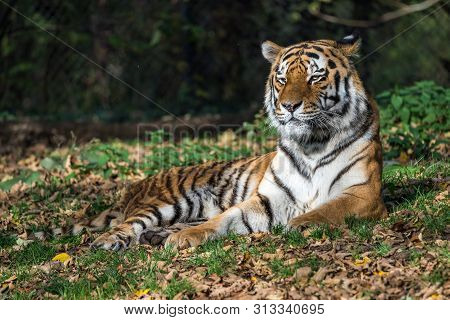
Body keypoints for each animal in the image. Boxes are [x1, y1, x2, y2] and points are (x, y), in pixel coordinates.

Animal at [71, 33, 386, 251]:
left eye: (315, 78)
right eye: (282, 79)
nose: (289, 106)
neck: (312, 144)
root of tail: (135, 187)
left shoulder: (363, 192)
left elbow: (327, 209)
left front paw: (299, 223)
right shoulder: (270, 198)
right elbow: (226, 218)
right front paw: (184, 238)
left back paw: (157, 235)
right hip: (168, 203)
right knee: (131, 223)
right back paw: (108, 241)